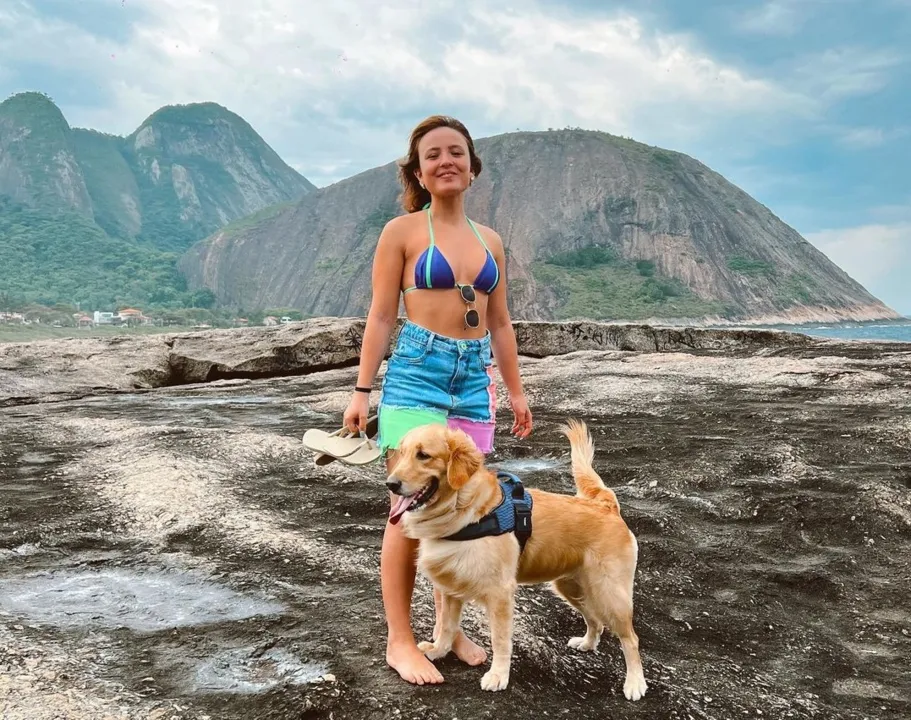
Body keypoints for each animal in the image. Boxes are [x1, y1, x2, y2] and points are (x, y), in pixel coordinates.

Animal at [384, 420, 648, 700]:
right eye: (402, 453)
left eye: (423, 455)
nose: (391, 484)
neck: (463, 509)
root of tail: (606, 505)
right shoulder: (451, 586)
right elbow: (447, 626)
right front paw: (438, 651)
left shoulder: (499, 592)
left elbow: (499, 640)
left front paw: (498, 675)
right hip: (571, 587)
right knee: (595, 620)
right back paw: (587, 643)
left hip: (610, 593)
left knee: (631, 639)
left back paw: (635, 682)